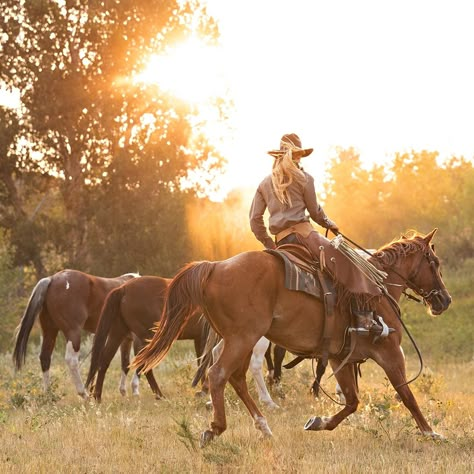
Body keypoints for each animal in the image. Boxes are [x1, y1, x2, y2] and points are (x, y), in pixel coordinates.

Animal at [12, 268, 140, 398]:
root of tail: (52, 279)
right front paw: (135, 391)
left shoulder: (126, 339)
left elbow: (125, 363)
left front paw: (123, 392)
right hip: (73, 332)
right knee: (72, 360)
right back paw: (83, 394)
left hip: (50, 330)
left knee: (45, 357)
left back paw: (49, 394)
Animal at [131, 229, 450, 444]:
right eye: (434, 262)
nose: (444, 301)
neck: (379, 289)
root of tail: (215, 267)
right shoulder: (390, 353)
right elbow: (406, 395)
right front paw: (431, 432)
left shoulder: (341, 359)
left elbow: (351, 401)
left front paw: (318, 421)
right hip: (243, 338)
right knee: (219, 374)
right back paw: (215, 428)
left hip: (240, 339)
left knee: (236, 378)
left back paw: (264, 426)